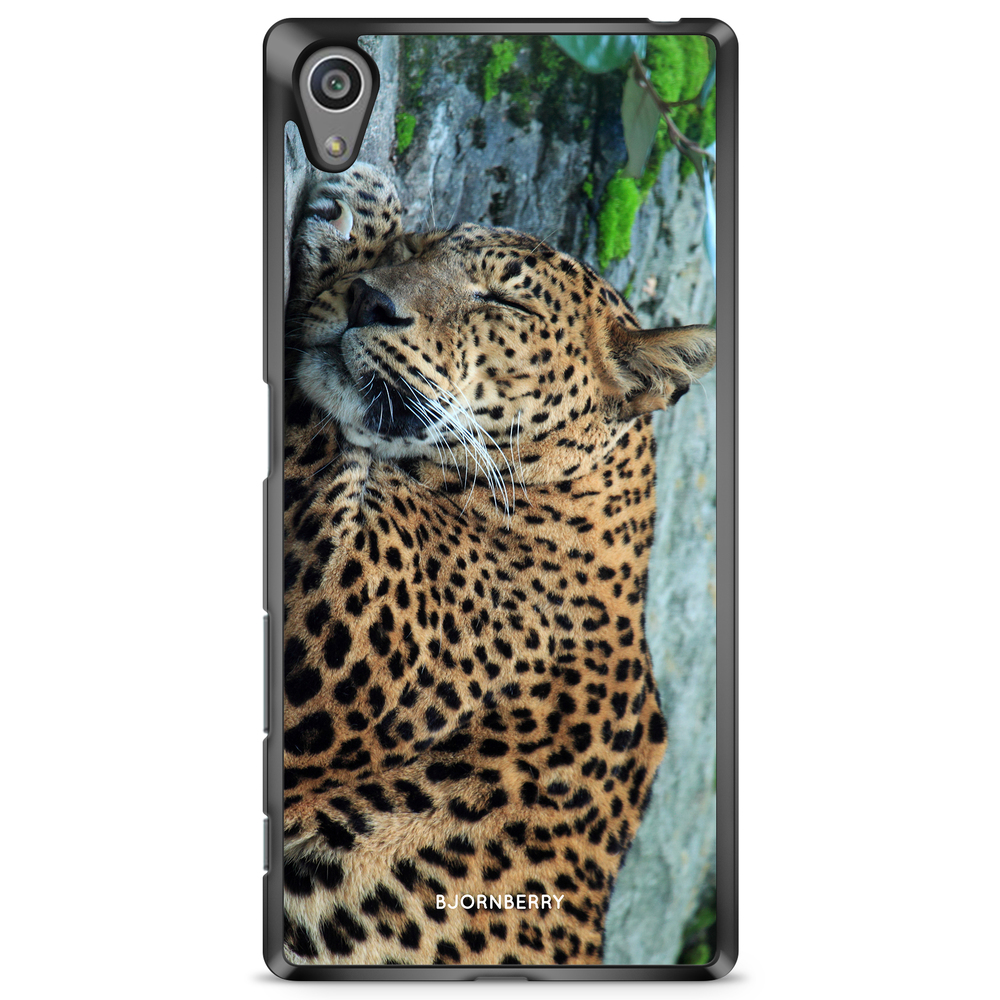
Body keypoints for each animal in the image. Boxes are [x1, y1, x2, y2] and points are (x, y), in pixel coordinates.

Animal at [281, 162, 715, 966]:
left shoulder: (337, 620)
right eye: (424, 248)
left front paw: (358, 210)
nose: (369, 300)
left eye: (503, 302)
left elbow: (316, 428)